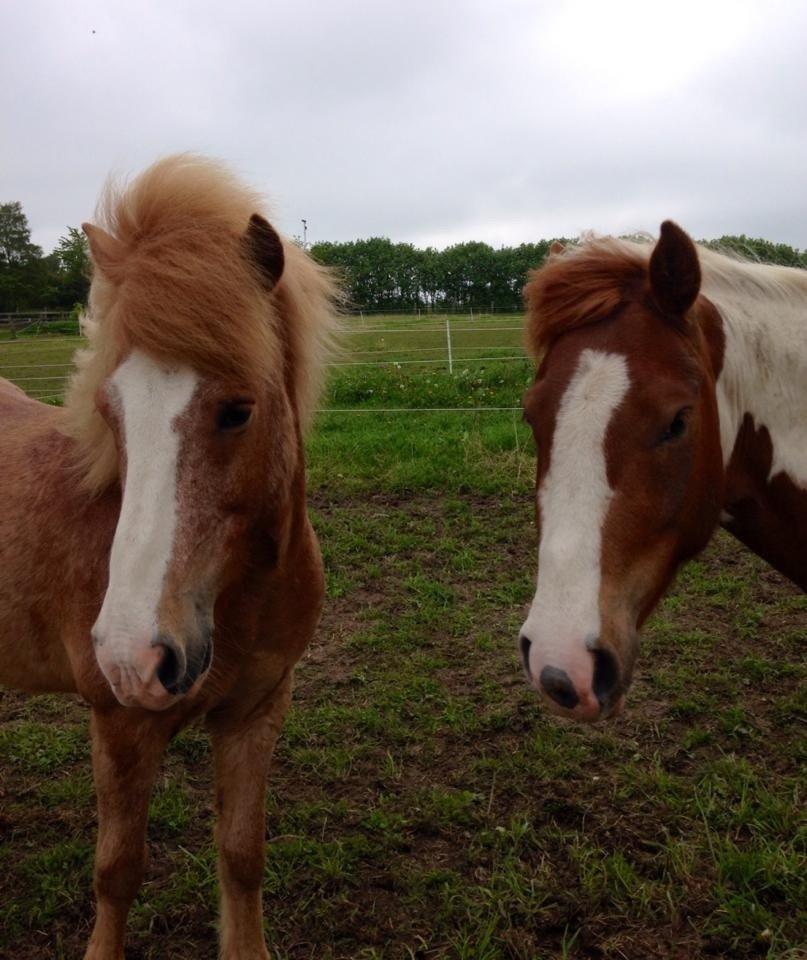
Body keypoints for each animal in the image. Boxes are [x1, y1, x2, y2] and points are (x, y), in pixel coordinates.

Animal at [0, 154, 340, 956]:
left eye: (238, 410)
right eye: (109, 410)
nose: (134, 654)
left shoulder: (256, 709)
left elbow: (242, 854)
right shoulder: (120, 724)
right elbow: (117, 870)